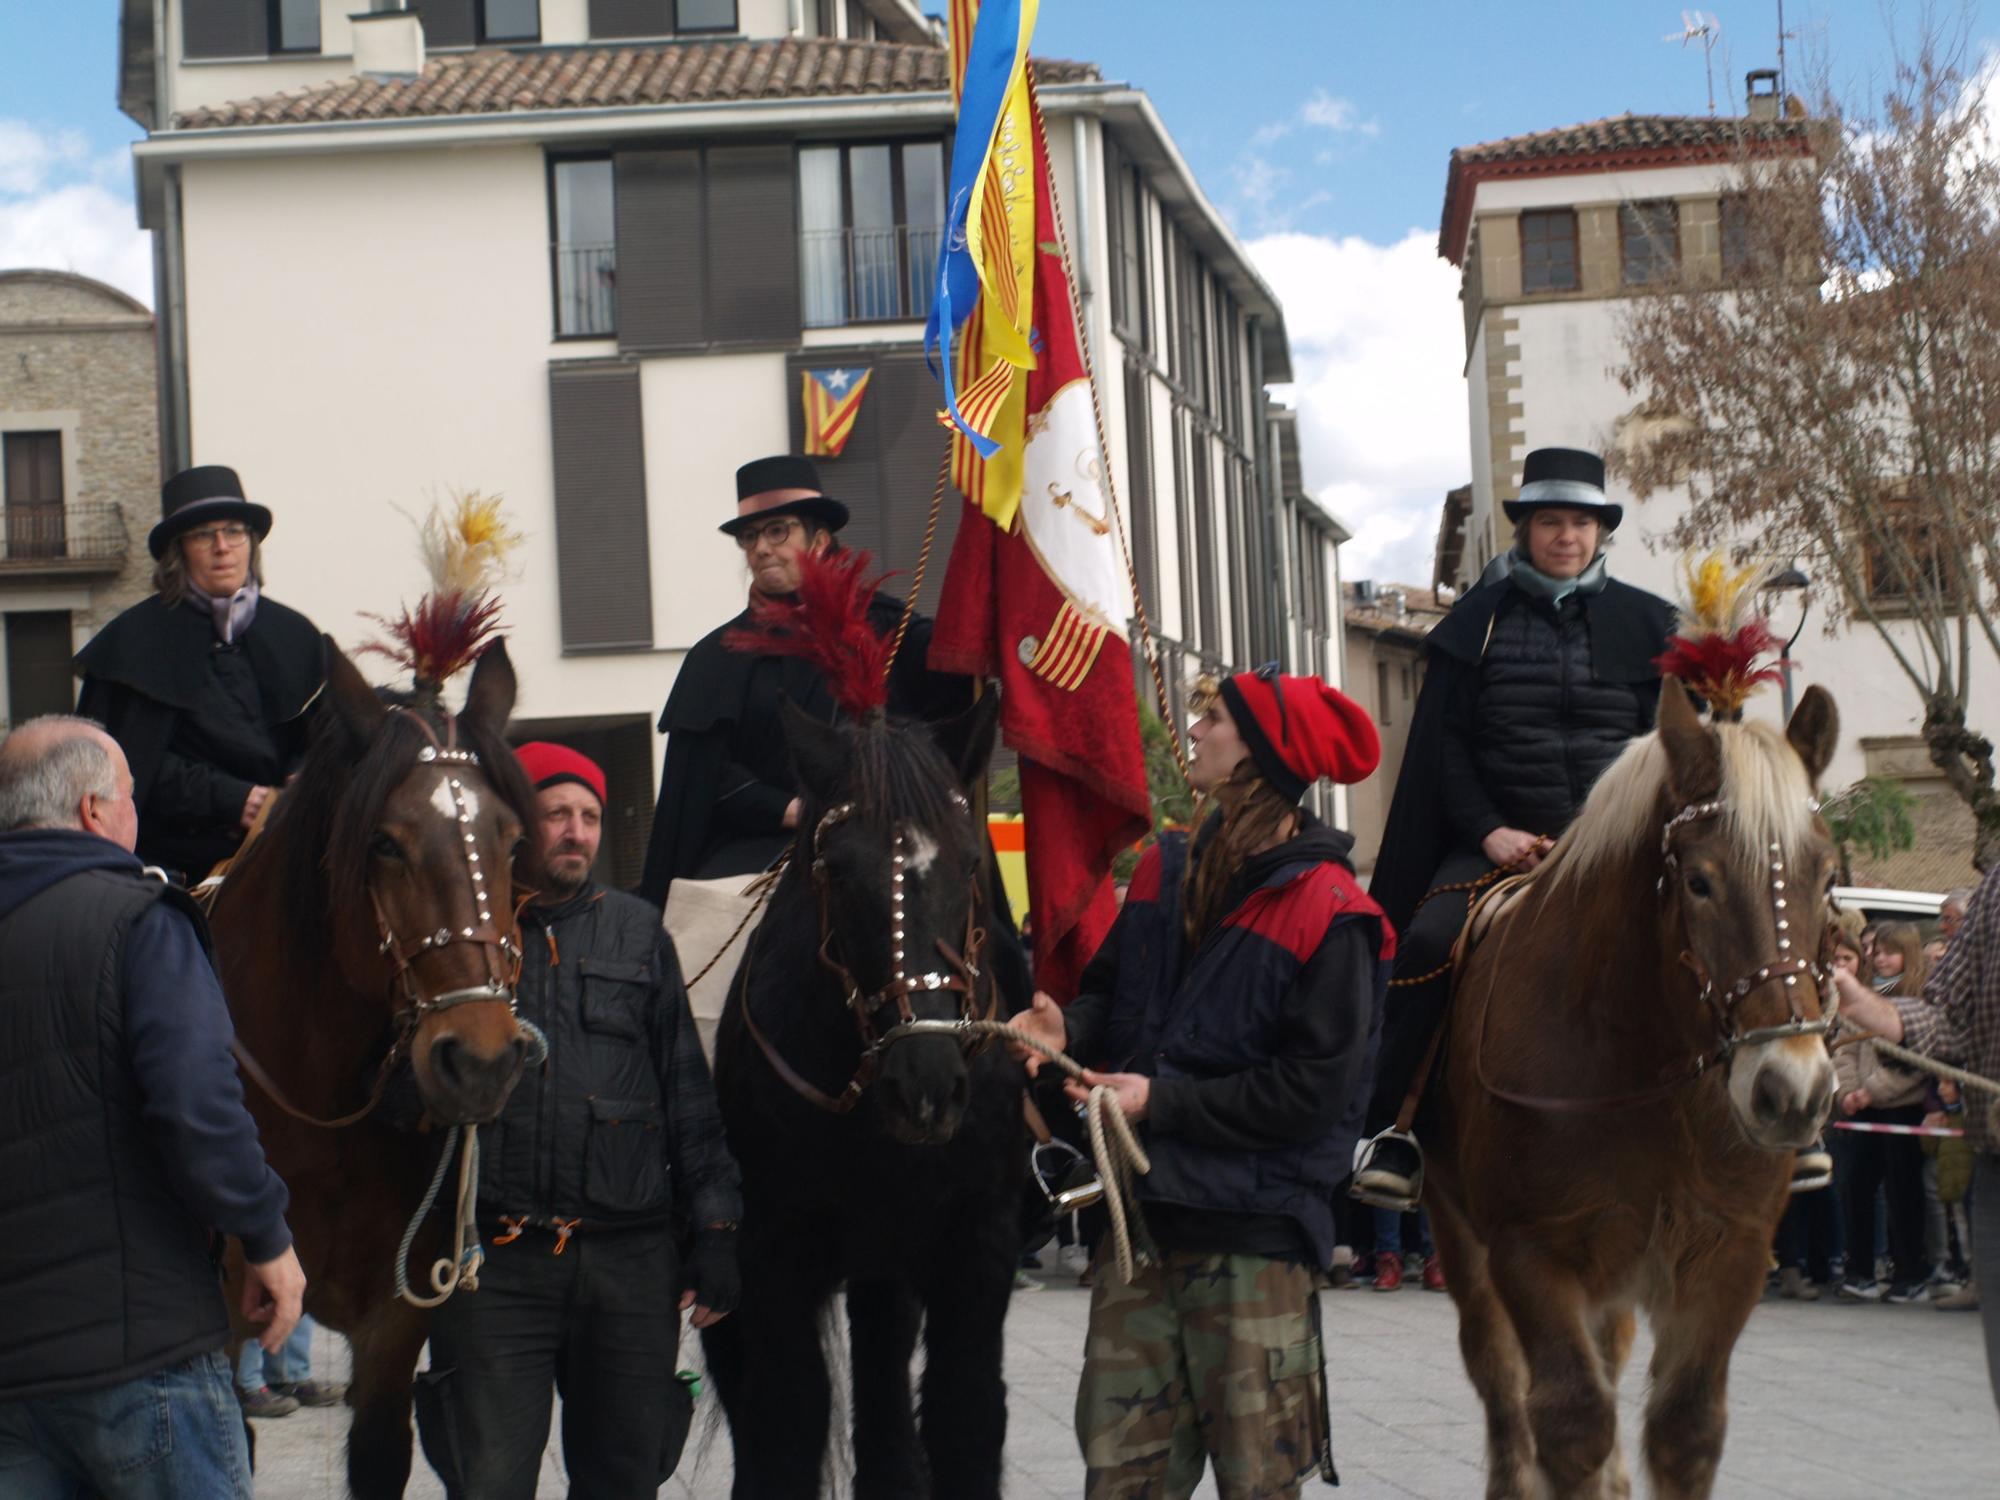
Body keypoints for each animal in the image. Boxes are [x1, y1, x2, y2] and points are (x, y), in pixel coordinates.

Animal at [708, 696, 1032, 1500]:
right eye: (835, 869)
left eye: (971, 861)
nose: (925, 1087)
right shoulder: (771, 1253)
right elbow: (786, 1424)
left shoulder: (976, 1241)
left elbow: (964, 1414)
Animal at [1424, 684, 1840, 1500]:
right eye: (1699, 881)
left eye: (1827, 876)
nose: (1791, 1090)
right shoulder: (1531, 1255)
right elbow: (1569, 1420)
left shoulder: (1729, 1257)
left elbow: (1686, 1431)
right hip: (1461, 1235)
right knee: (1501, 1386)